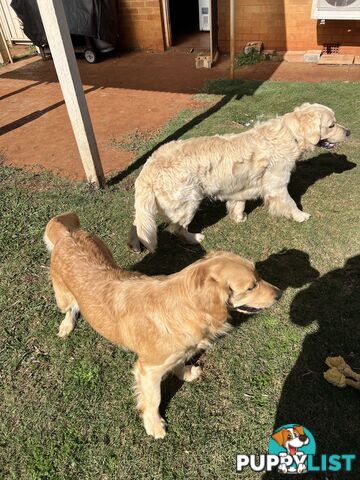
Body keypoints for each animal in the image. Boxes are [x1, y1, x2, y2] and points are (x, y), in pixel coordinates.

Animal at [44, 214, 282, 438]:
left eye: (258, 274)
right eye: (251, 287)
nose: (279, 294)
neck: (187, 306)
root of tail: (68, 234)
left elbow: (179, 363)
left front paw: (185, 373)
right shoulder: (148, 370)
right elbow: (153, 400)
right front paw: (154, 425)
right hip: (62, 296)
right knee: (70, 307)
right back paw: (66, 325)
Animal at [129, 101, 348, 251]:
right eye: (332, 125)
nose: (349, 132)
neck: (290, 135)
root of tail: (148, 165)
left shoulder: (240, 186)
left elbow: (238, 203)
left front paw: (239, 217)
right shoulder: (277, 186)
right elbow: (290, 203)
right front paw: (301, 216)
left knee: (139, 224)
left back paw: (135, 244)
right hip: (189, 202)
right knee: (176, 228)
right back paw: (194, 238)